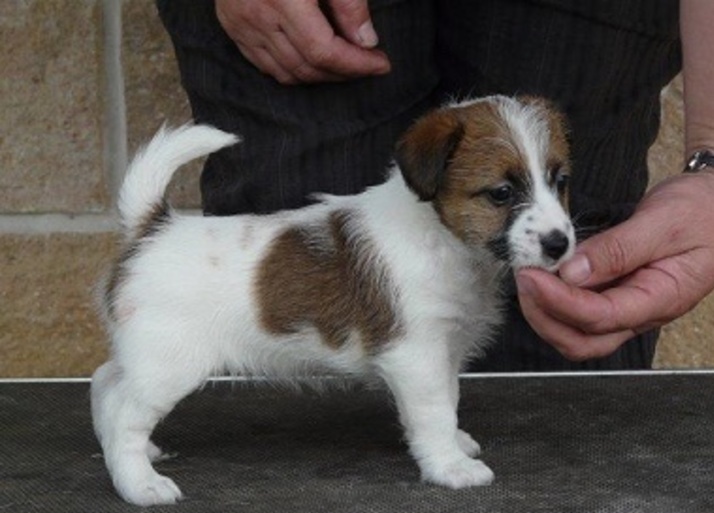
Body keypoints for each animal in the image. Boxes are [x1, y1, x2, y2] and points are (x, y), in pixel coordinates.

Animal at [92, 95, 576, 504]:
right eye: (501, 193)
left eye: (559, 181)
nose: (560, 244)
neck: (440, 237)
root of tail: (152, 228)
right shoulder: (416, 355)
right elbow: (435, 411)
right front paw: (450, 466)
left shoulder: (444, 350)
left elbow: (450, 399)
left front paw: (455, 443)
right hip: (169, 365)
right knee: (124, 413)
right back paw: (139, 483)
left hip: (146, 358)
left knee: (104, 383)